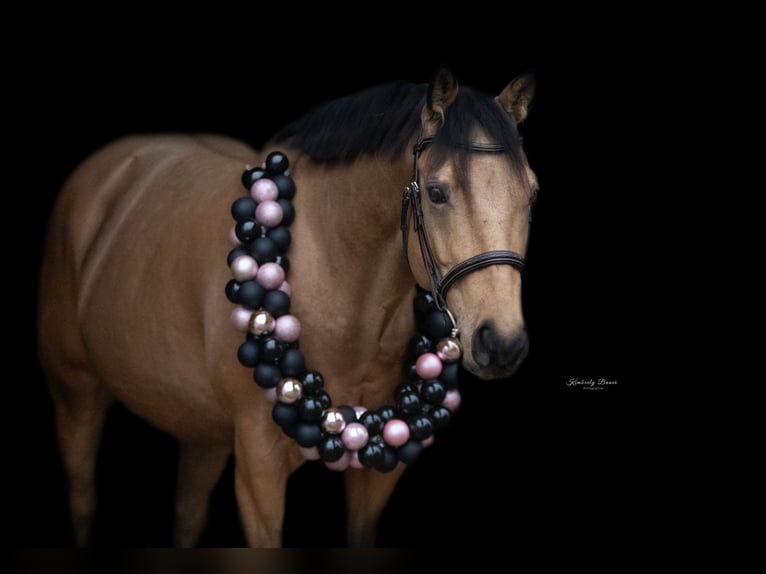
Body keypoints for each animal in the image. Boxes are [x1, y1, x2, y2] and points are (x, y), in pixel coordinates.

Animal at [36, 66, 538, 547]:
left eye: (532, 193)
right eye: (436, 192)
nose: (502, 342)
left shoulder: (380, 477)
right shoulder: (259, 469)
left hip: (200, 432)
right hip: (76, 394)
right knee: (83, 500)